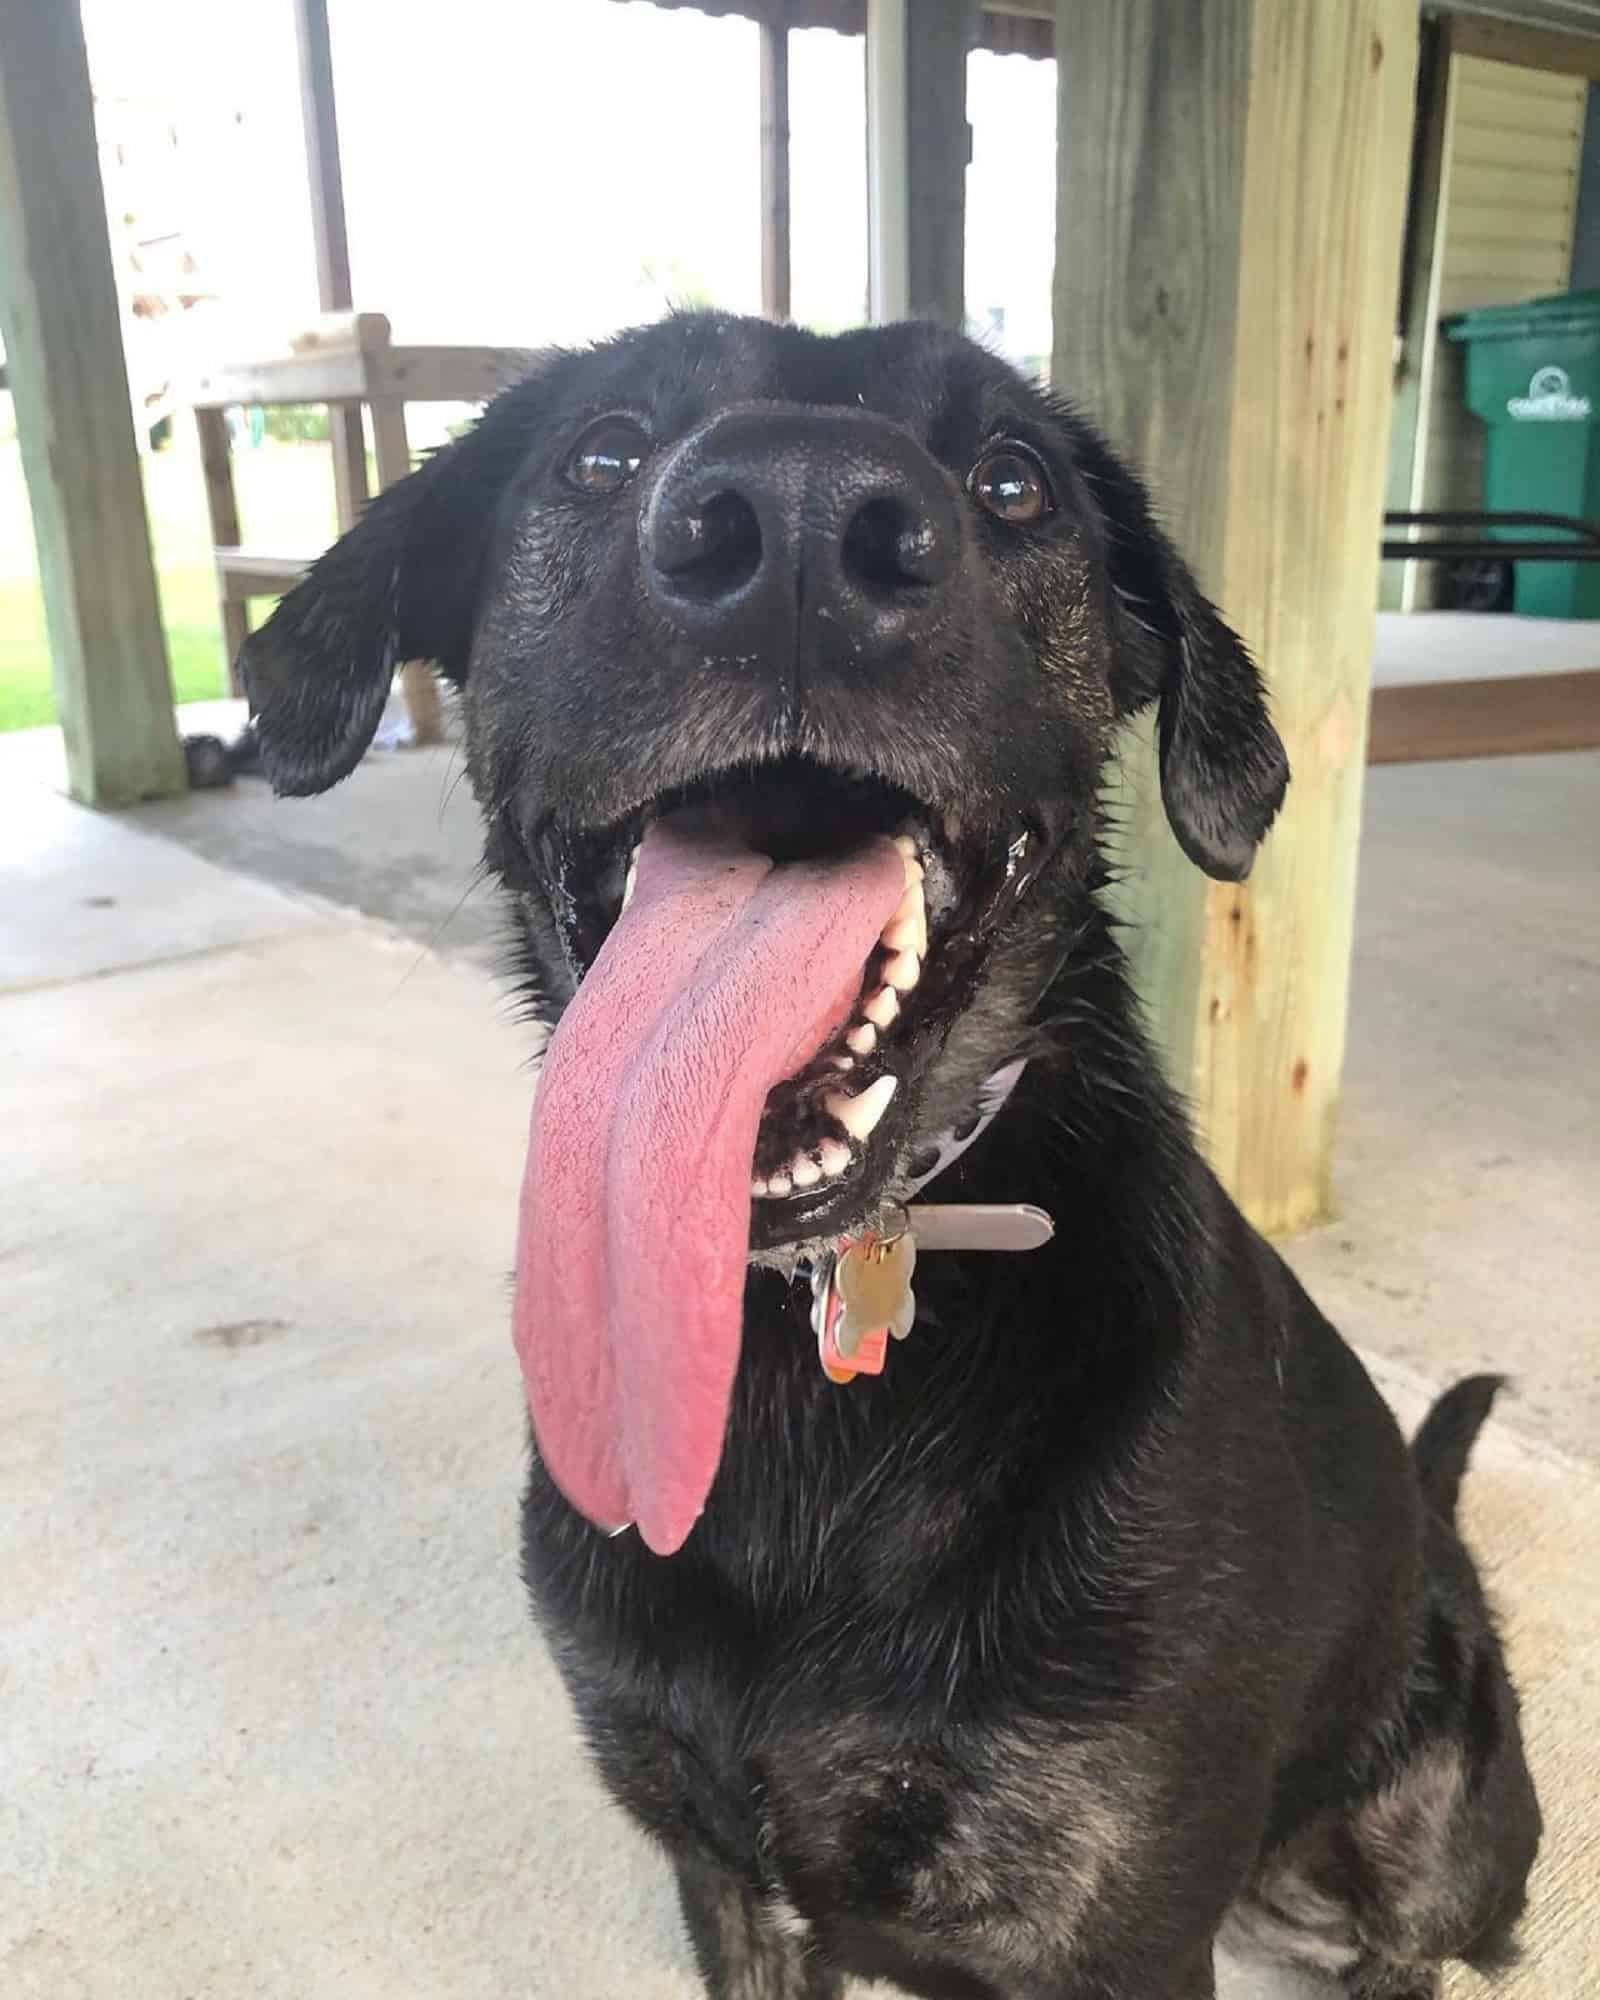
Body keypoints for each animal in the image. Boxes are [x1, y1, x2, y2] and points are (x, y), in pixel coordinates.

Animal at [247, 320, 1536, 1992]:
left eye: (1014, 482)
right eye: (602, 451)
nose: (795, 521)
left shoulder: (1115, 1929)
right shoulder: (721, 1871)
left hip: (1439, 1820)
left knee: (1423, 1941)